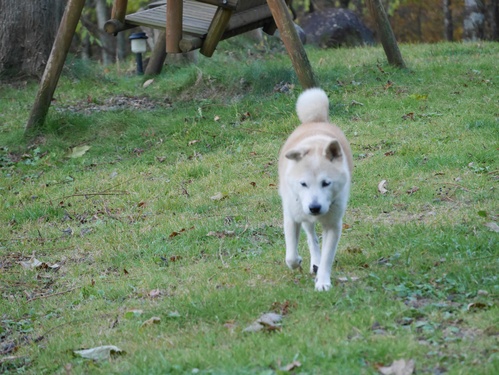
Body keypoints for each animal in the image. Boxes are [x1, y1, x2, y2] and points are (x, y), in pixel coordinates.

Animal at [278, 87, 356, 290]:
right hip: (302, 214)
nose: (314, 208)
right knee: (311, 237)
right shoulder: (292, 217)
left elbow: (328, 257)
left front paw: (323, 282)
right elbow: (290, 255)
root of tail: (315, 121)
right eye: (303, 184)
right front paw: (297, 261)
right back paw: (314, 260)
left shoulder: (333, 226)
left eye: (326, 183)